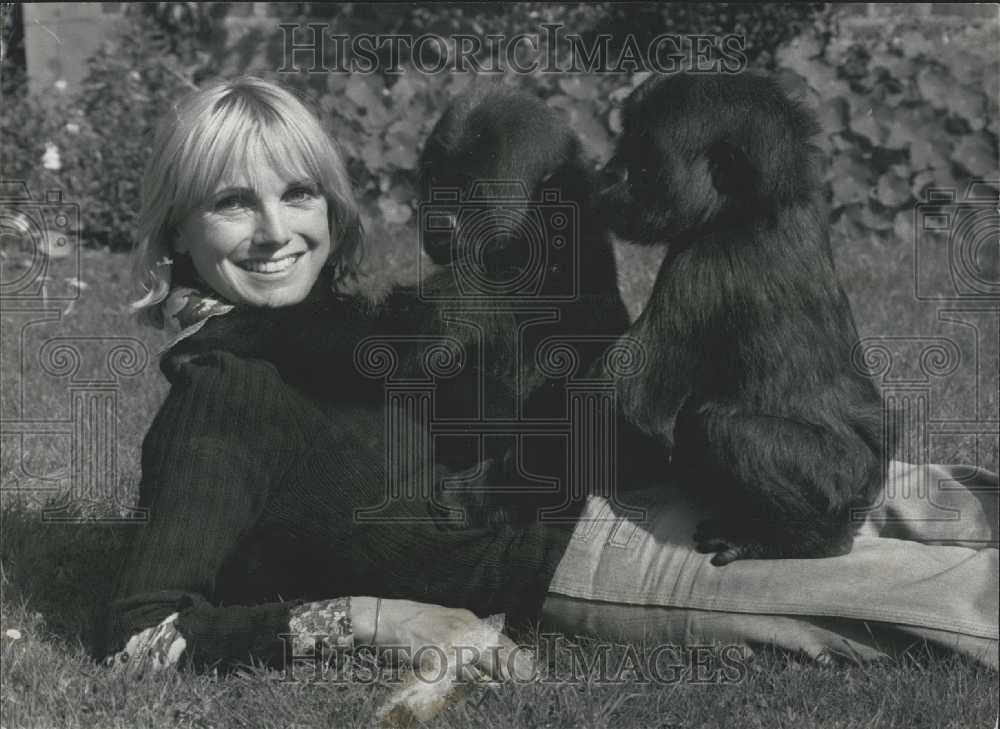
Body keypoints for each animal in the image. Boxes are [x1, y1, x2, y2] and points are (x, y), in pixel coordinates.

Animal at [175, 86, 652, 524]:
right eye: (436, 182)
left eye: (472, 192)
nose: (439, 220)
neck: (554, 235)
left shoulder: (476, 288)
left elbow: (389, 359)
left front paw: (234, 330)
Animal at [596, 72, 896, 564]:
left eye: (643, 154)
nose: (609, 171)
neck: (754, 205)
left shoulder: (701, 262)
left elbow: (630, 405)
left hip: (839, 485)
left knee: (727, 431)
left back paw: (803, 539)